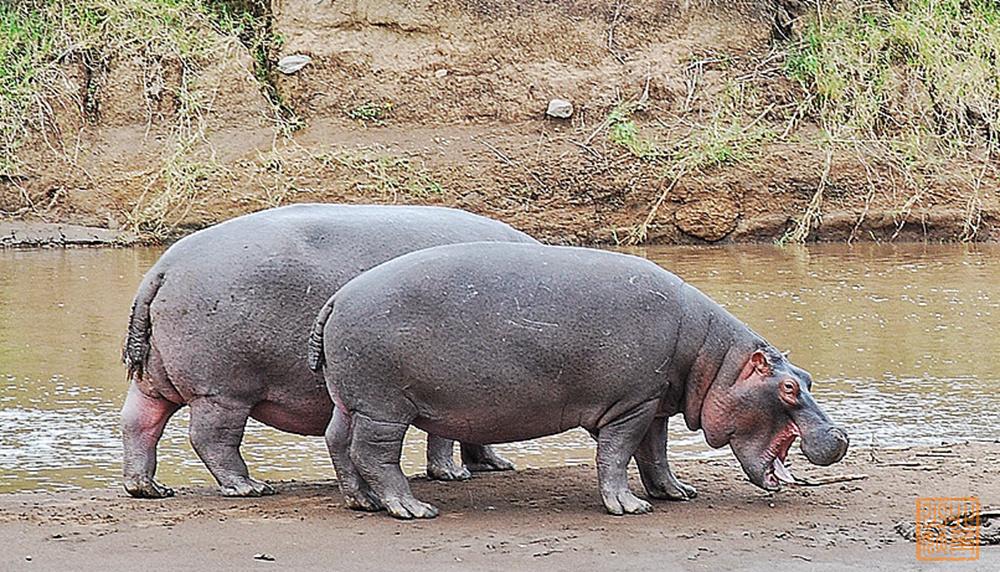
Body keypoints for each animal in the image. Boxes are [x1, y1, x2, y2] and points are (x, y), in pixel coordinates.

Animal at [121, 203, 536, 498]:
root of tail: (162, 268)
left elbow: (476, 432)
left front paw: (495, 465)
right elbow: (445, 437)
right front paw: (453, 474)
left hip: (156, 381)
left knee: (139, 422)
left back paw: (149, 488)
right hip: (222, 392)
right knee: (211, 438)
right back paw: (250, 487)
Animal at [308, 241, 848, 520]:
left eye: (807, 376)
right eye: (788, 389)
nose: (841, 434)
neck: (714, 359)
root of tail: (335, 299)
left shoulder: (653, 403)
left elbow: (655, 454)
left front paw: (676, 493)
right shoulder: (630, 404)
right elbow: (617, 455)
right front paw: (630, 507)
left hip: (350, 401)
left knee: (339, 442)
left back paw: (361, 502)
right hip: (384, 408)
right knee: (374, 455)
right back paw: (411, 509)